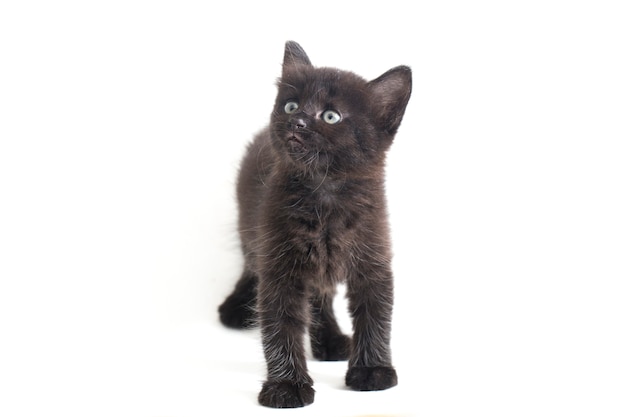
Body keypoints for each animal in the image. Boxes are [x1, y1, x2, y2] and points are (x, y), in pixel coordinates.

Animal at [217, 41, 412, 406]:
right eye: (291, 105)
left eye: (331, 116)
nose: (298, 122)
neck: (325, 194)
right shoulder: (278, 262)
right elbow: (281, 326)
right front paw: (286, 387)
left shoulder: (373, 256)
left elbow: (376, 315)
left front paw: (372, 371)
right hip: (250, 228)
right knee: (251, 265)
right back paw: (236, 306)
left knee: (320, 295)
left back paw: (332, 339)